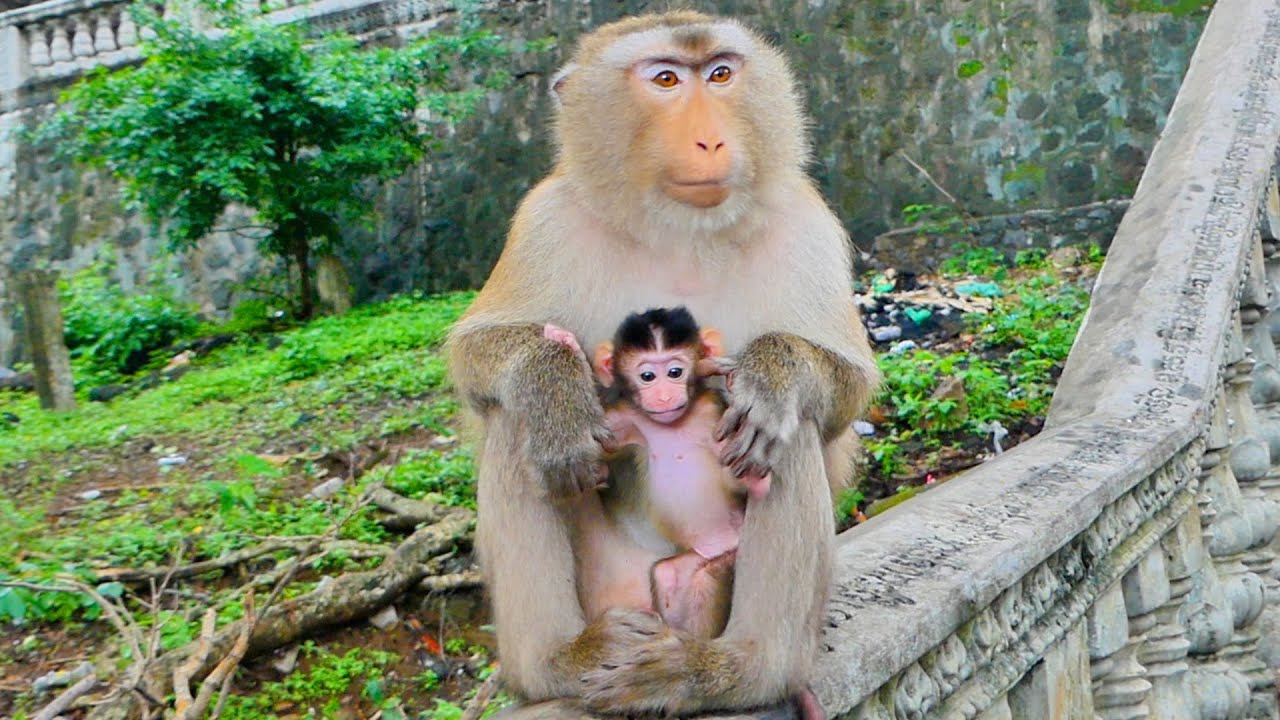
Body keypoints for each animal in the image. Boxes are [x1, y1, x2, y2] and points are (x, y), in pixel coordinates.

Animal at [446, 10, 879, 718]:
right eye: (667, 80)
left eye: (721, 73)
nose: (710, 140)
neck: (680, 231)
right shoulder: (545, 221)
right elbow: (476, 356)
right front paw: (553, 384)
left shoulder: (807, 223)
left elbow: (843, 392)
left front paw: (774, 373)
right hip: (607, 585)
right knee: (515, 424)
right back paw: (557, 663)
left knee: (782, 434)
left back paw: (736, 671)